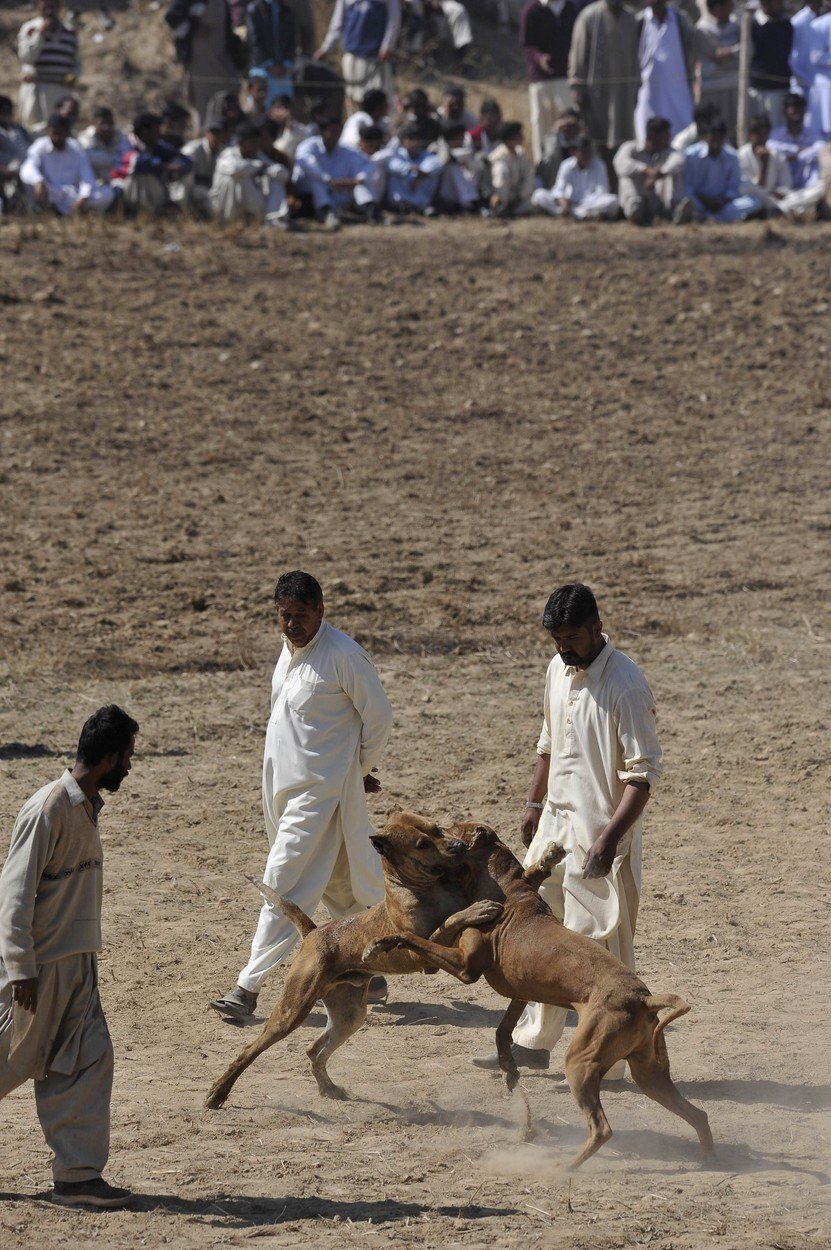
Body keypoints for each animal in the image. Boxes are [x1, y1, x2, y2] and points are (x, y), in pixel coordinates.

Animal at [203, 815, 502, 1110]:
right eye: (422, 844)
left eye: (436, 828)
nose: (460, 846)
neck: (424, 888)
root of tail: (313, 932)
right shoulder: (422, 955)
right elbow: (450, 920)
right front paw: (478, 909)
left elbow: (453, 914)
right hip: (291, 1011)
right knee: (250, 1050)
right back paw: (218, 1093)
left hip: (349, 1015)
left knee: (314, 1050)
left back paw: (328, 1087)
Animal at [364, 825, 714, 1165]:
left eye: (444, 831)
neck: (506, 889)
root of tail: (644, 998)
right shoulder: (520, 991)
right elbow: (501, 1032)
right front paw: (509, 1069)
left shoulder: (466, 968)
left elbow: (413, 938)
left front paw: (380, 943)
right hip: (650, 1073)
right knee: (698, 1113)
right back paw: (707, 1158)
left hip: (581, 1061)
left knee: (602, 1129)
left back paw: (563, 1168)